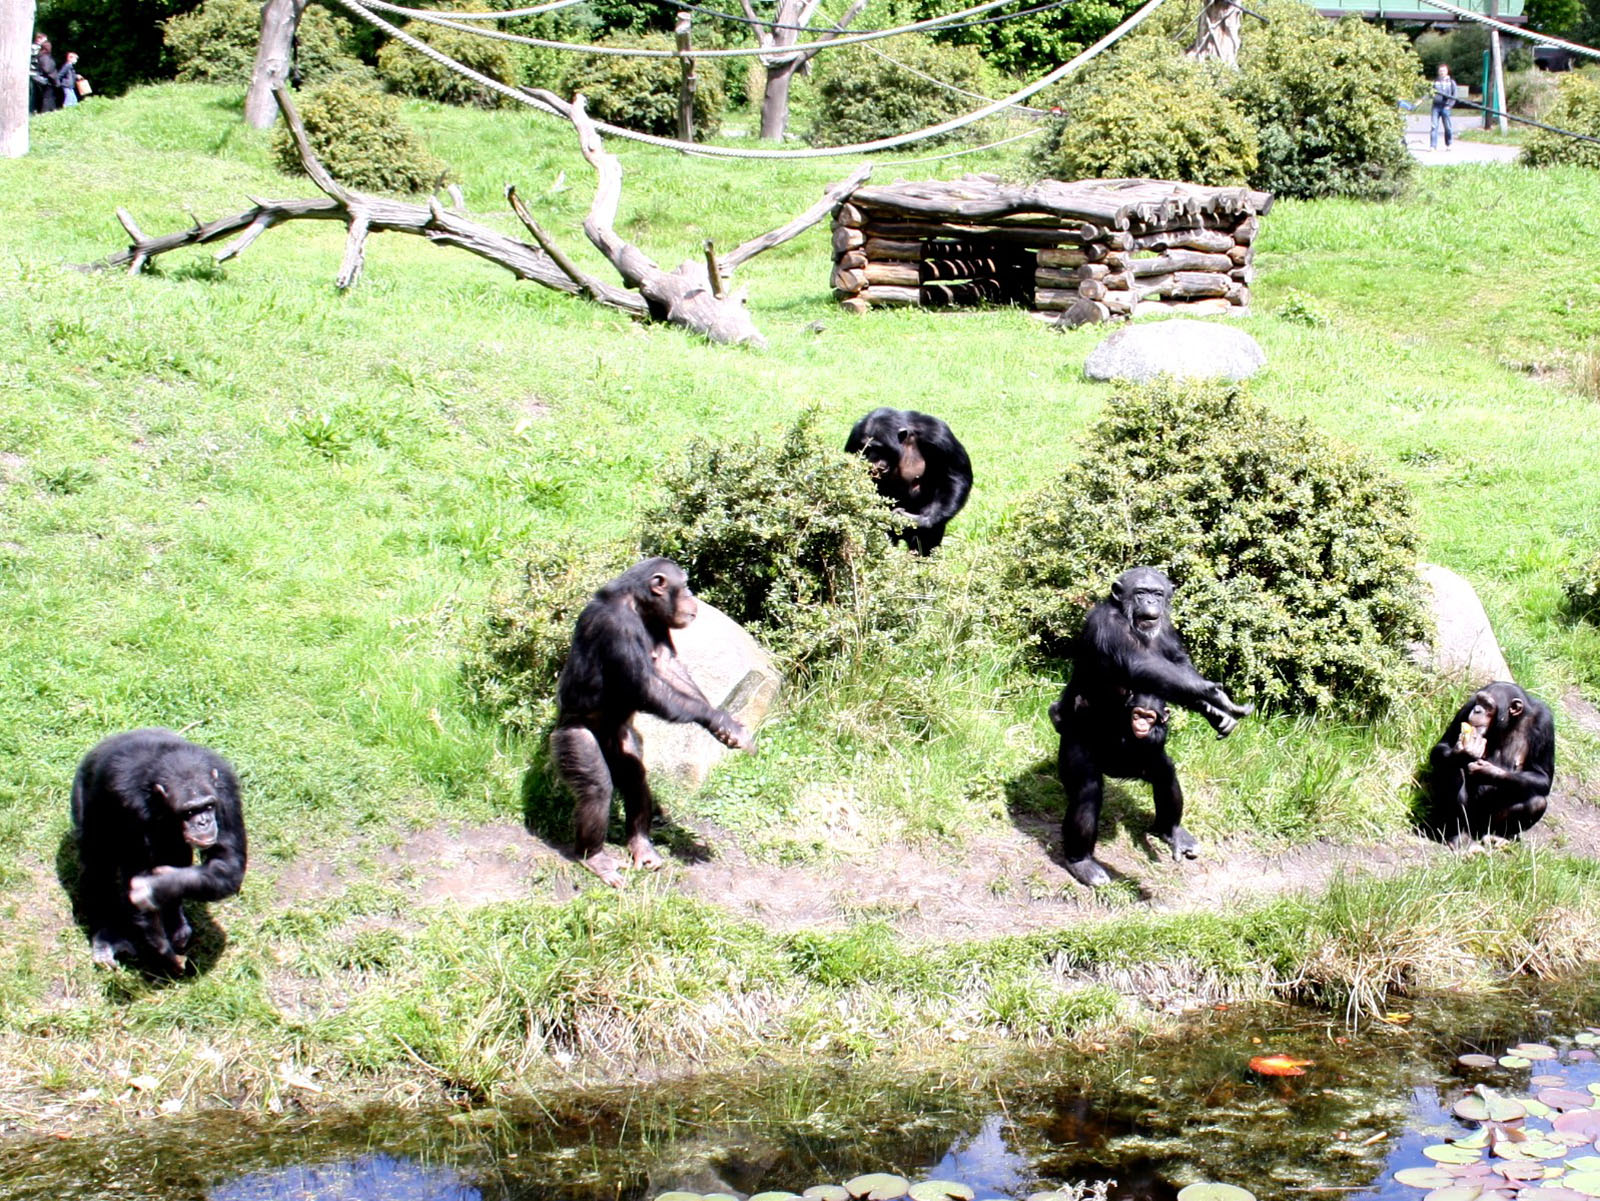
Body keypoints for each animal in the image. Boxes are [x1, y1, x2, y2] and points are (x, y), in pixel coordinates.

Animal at [71, 729, 246, 972]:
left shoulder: (226, 792)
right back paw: (106, 937)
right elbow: (135, 870)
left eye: (208, 805)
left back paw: (175, 922)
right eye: (188, 812)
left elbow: (226, 862)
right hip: (82, 797)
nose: (203, 822)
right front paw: (160, 948)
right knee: (97, 864)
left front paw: (157, 887)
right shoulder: (127, 803)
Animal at [550, 559, 755, 889]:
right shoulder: (618, 626)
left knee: (635, 779)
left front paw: (724, 725)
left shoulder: (660, 626)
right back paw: (593, 857)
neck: (639, 605)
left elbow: (668, 667)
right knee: (596, 788)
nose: (692, 597)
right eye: (685, 585)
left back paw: (641, 846)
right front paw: (722, 722)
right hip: (573, 736)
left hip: (621, 739)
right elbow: (646, 685)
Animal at [844, 404, 966, 553]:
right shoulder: (854, 440)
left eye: (879, 448)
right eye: (866, 449)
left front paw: (925, 520)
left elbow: (955, 476)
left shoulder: (939, 435)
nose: (873, 459)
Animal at [1056, 569, 1254, 889]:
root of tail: (1115, 771)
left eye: (1157, 593)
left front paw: (1216, 711)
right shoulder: (1106, 624)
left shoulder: (1169, 632)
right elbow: (1138, 663)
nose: (1150, 602)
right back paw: (1082, 862)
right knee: (1086, 791)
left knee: (1165, 775)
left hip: (1136, 765)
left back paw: (1172, 832)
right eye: (1140, 592)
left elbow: (1179, 664)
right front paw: (1215, 696)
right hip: (1078, 743)